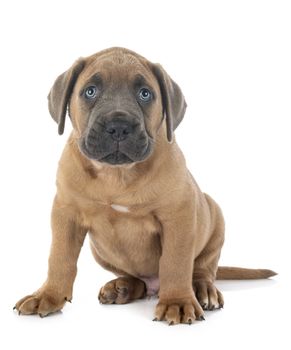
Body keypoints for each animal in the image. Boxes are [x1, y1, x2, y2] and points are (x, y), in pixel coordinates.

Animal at [14, 47, 276, 324]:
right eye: (90, 91)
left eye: (145, 93)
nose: (118, 127)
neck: (116, 175)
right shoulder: (67, 214)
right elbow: (60, 258)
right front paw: (48, 295)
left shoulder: (178, 216)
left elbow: (175, 262)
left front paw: (178, 301)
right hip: (101, 252)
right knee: (138, 279)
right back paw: (122, 287)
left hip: (213, 215)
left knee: (203, 268)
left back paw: (202, 289)